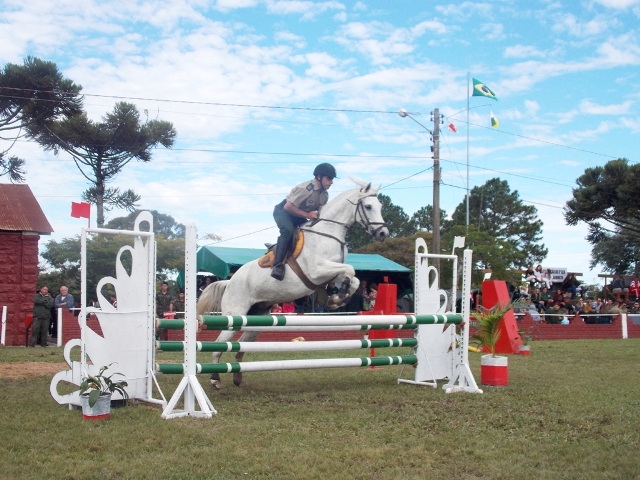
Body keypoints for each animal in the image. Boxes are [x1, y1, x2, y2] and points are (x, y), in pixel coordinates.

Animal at [195, 180, 388, 390]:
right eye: (368, 206)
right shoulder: (317, 270)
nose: (383, 233)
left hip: (256, 320)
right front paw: (337, 298)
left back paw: (238, 379)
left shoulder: (331, 272)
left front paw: (337, 299)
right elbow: (351, 270)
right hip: (234, 317)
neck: (328, 233)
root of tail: (230, 281)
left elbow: (354, 278)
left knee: (241, 346)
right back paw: (215, 379)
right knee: (219, 346)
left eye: (380, 206)